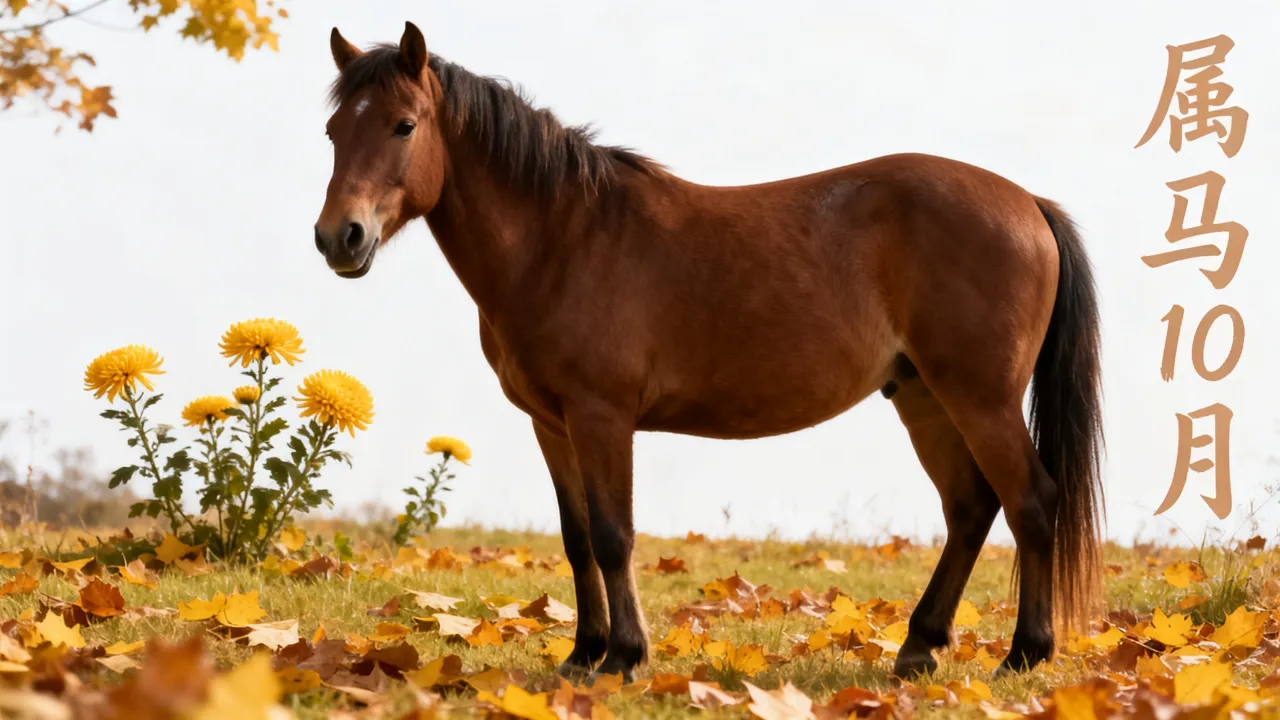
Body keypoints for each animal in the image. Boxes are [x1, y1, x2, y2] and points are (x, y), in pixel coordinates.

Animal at [313, 21, 1106, 683]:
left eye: (404, 125)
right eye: (332, 131)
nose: (338, 238)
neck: (561, 236)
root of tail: (1029, 204)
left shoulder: (602, 416)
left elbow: (613, 535)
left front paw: (623, 658)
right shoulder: (551, 422)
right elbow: (576, 537)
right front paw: (582, 653)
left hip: (979, 396)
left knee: (1030, 501)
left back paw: (1024, 655)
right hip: (923, 395)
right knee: (971, 508)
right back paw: (918, 648)